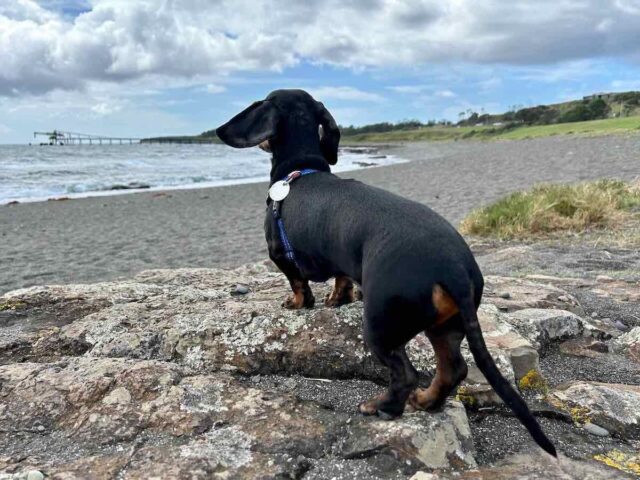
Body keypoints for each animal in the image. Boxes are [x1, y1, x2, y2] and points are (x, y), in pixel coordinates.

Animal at [219, 90, 556, 458]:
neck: (301, 170)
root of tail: (452, 265)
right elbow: (341, 278)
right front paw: (337, 298)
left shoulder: (279, 255)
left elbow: (298, 283)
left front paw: (297, 303)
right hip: (445, 326)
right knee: (453, 369)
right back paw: (426, 401)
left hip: (379, 327)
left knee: (405, 374)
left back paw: (381, 407)